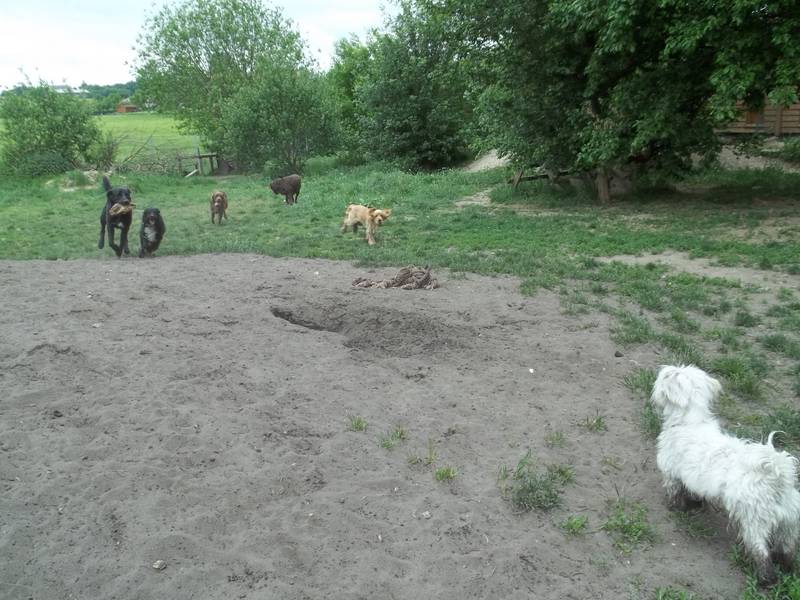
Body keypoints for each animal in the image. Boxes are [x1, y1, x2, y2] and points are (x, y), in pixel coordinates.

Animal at [651, 364, 800, 585]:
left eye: (663, 377)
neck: (690, 421)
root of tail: (777, 479)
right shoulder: (694, 480)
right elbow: (694, 492)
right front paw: (696, 505)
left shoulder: (671, 473)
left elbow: (675, 492)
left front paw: (675, 508)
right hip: (788, 525)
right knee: (787, 551)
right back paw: (789, 572)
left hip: (755, 522)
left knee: (761, 553)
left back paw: (765, 580)